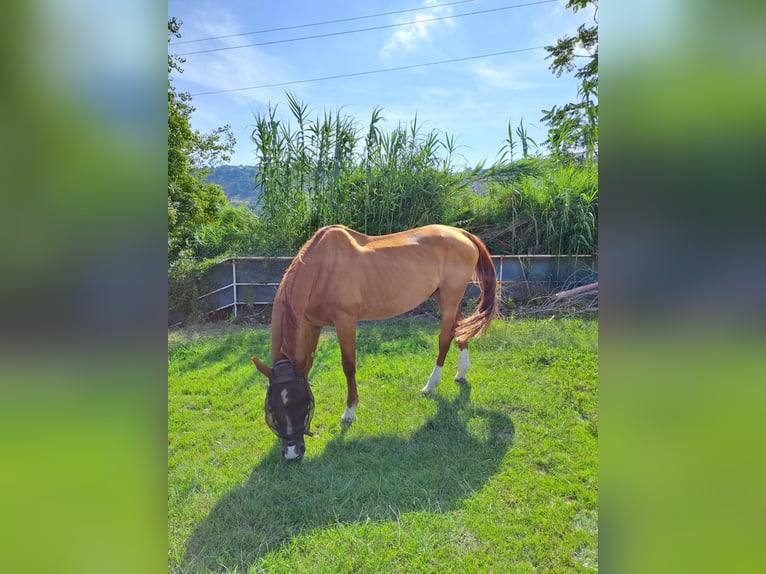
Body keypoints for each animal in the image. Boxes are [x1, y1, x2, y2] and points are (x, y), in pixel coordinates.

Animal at [252, 223, 498, 462]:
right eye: (273, 411)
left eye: (303, 404)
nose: (292, 454)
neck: (321, 270)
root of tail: (461, 233)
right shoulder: (312, 324)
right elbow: (308, 366)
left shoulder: (345, 321)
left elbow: (348, 365)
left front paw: (349, 412)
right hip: (441, 296)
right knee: (461, 328)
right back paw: (462, 373)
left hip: (449, 298)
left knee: (445, 338)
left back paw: (431, 385)